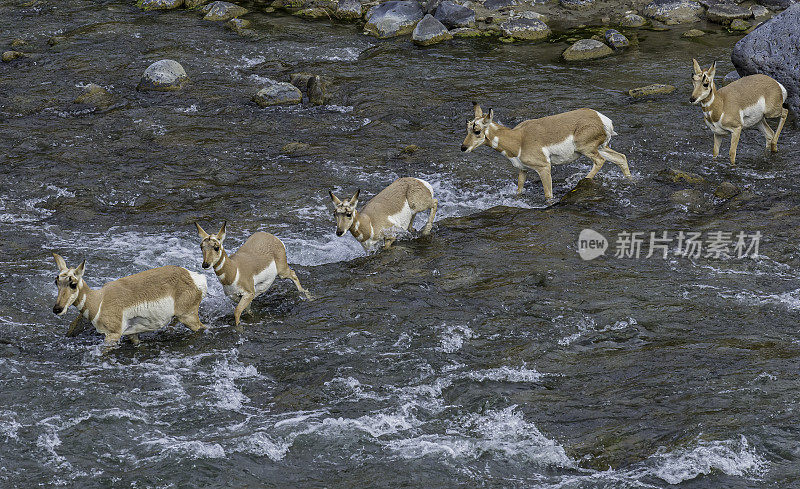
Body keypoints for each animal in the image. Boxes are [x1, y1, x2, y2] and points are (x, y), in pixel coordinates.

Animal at [50, 254, 206, 346]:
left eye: (73, 284)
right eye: (56, 281)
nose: (57, 309)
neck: (99, 300)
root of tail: (193, 276)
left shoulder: (112, 335)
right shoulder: (132, 333)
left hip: (188, 317)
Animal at [462, 103, 632, 200]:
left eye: (477, 131)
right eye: (468, 127)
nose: (463, 147)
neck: (519, 139)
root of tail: (602, 120)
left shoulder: (544, 167)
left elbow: (548, 194)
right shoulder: (523, 169)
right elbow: (519, 190)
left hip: (586, 149)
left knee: (600, 161)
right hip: (602, 148)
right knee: (621, 158)